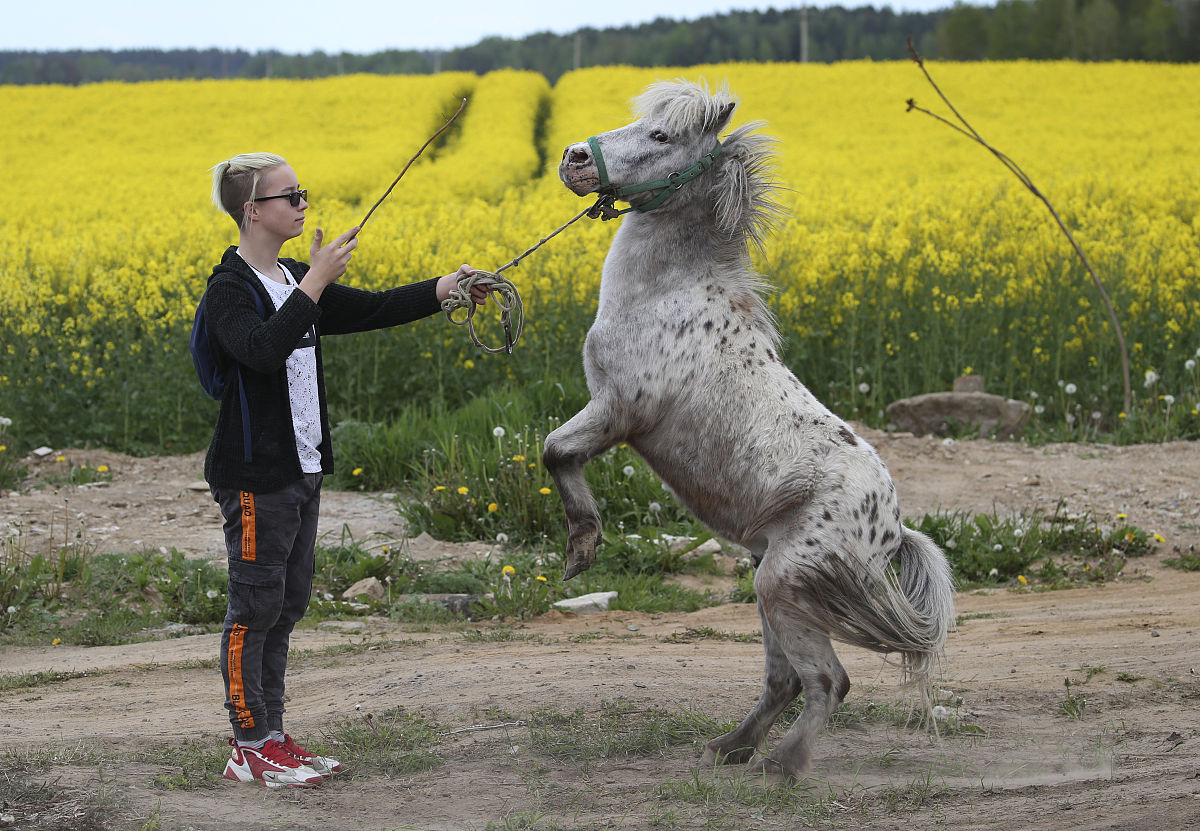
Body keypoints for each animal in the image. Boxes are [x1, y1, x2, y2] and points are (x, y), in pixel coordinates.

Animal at [543, 78, 956, 781]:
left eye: (661, 136)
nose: (573, 158)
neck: (668, 296)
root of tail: (892, 529)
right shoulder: (608, 411)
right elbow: (555, 452)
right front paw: (581, 550)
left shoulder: (617, 413)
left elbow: (554, 451)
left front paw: (582, 546)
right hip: (769, 582)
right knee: (786, 681)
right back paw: (729, 748)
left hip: (782, 584)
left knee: (827, 682)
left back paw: (782, 765)